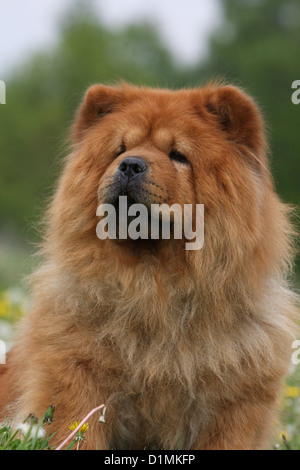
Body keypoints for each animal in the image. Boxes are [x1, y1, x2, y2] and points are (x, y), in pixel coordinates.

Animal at [1, 82, 298, 450]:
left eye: (178, 155)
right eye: (119, 149)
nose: (130, 164)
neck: (154, 286)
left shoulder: (234, 405)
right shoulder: (76, 377)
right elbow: (76, 429)